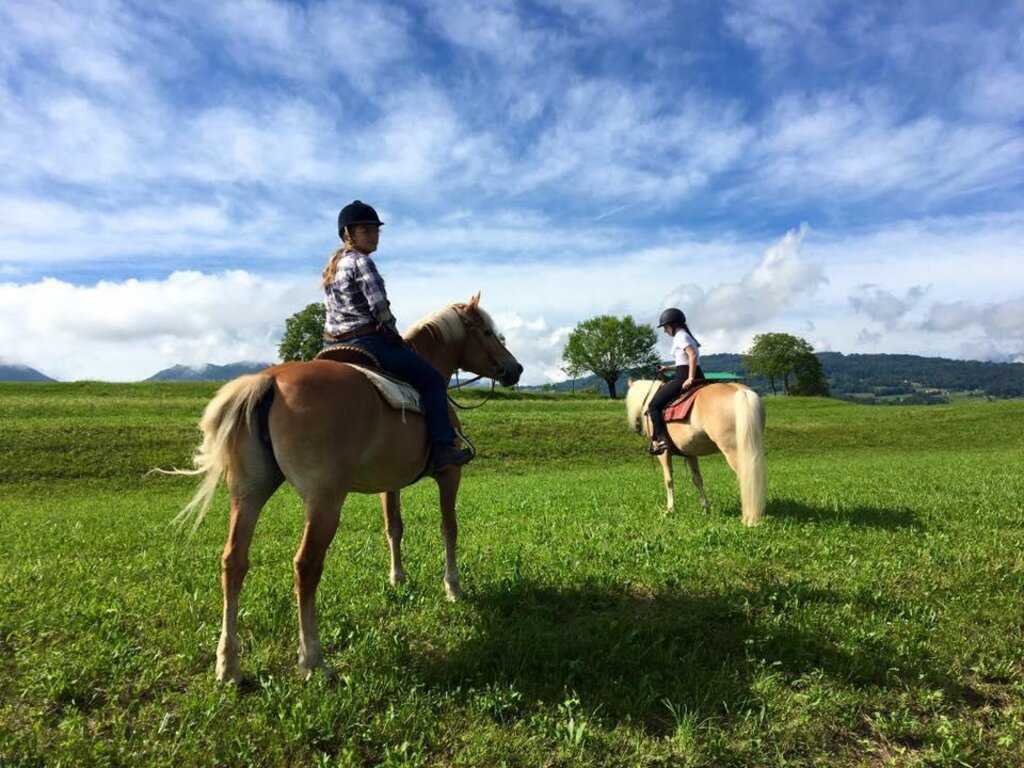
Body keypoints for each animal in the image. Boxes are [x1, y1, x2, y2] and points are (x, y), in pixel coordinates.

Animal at [169, 294, 520, 684]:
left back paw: (228, 664)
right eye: (487, 331)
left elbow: (393, 528)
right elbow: (449, 528)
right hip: (324, 501)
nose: (516, 369)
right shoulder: (450, 474)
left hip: (248, 495)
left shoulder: (389, 483)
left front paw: (398, 579)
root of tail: (269, 381)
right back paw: (312, 660)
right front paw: (453, 587)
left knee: (233, 562)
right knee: (306, 566)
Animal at [626, 380, 765, 528]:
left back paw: (749, 518)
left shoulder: (663, 453)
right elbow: (697, 479)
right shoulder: (690, 454)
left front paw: (670, 509)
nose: (636, 427)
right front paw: (705, 508)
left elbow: (669, 480)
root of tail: (740, 391)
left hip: (734, 451)